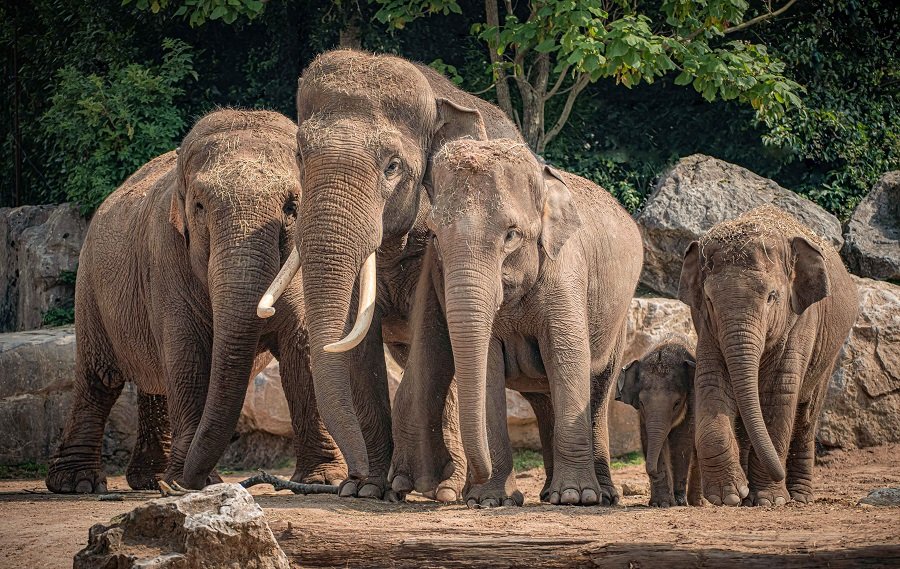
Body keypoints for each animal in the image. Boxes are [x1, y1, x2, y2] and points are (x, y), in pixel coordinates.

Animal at [46, 111, 348, 492]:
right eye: (200, 207)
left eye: (292, 206)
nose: (189, 481)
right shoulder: (165, 254)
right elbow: (187, 355)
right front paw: (192, 483)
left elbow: (302, 350)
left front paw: (324, 480)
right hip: (89, 287)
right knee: (100, 379)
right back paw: (79, 483)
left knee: (156, 383)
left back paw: (151, 480)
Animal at [255, 48, 520, 496]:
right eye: (300, 156)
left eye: (393, 166)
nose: (355, 473)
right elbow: (358, 344)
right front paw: (366, 490)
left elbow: (431, 338)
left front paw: (422, 484)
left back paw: (450, 487)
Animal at [390, 139, 644, 506]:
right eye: (435, 235)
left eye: (511, 235)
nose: (468, 490)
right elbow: (488, 367)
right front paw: (490, 500)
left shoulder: (566, 271)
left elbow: (568, 357)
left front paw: (576, 497)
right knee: (544, 396)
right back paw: (548, 493)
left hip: (619, 318)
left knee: (598, 386)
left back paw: (600, 495)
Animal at [620, 340, 704, 508]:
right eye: (641, 403)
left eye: (677, 403)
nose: (650, 471)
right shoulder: (643, 416)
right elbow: (648, 437)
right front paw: (661, 503)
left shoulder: (692, 402)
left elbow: (681, 440)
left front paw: (679, 501)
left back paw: (697, 503)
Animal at [676, 205, 856, 506]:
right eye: (710, 300)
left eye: (772, 296)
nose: (778, 474)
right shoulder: (706, 325)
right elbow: (711, 382)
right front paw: (729, 496)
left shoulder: (801, 319)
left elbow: (778, 392)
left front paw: (769, 501)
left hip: (830, 350)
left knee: (806, 414)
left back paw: (799, 497)